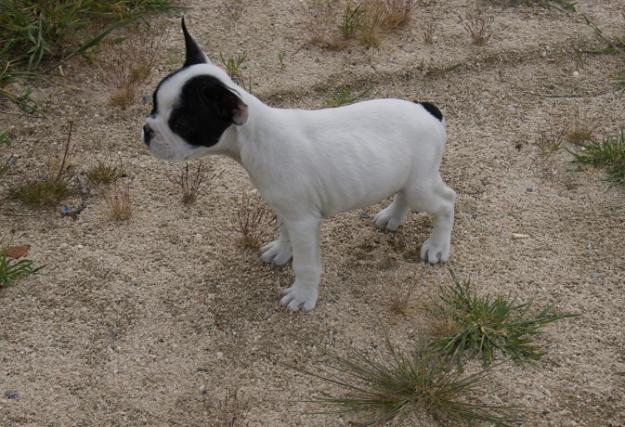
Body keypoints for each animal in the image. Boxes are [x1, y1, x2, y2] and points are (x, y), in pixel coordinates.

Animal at [143, 18, 454, 312]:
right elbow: (284, 232)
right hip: (405, 177)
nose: (147, 130)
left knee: (446, 202)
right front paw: (281, 251)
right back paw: (392, 217)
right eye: (153, 105)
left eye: (181, 124)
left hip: (421, 185)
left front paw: (303, 295)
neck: (255, 136)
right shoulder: (286, 209)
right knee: (404, 193)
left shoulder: (303, 221)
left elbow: (305, 264)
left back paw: (438, 246)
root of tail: (427, 108)